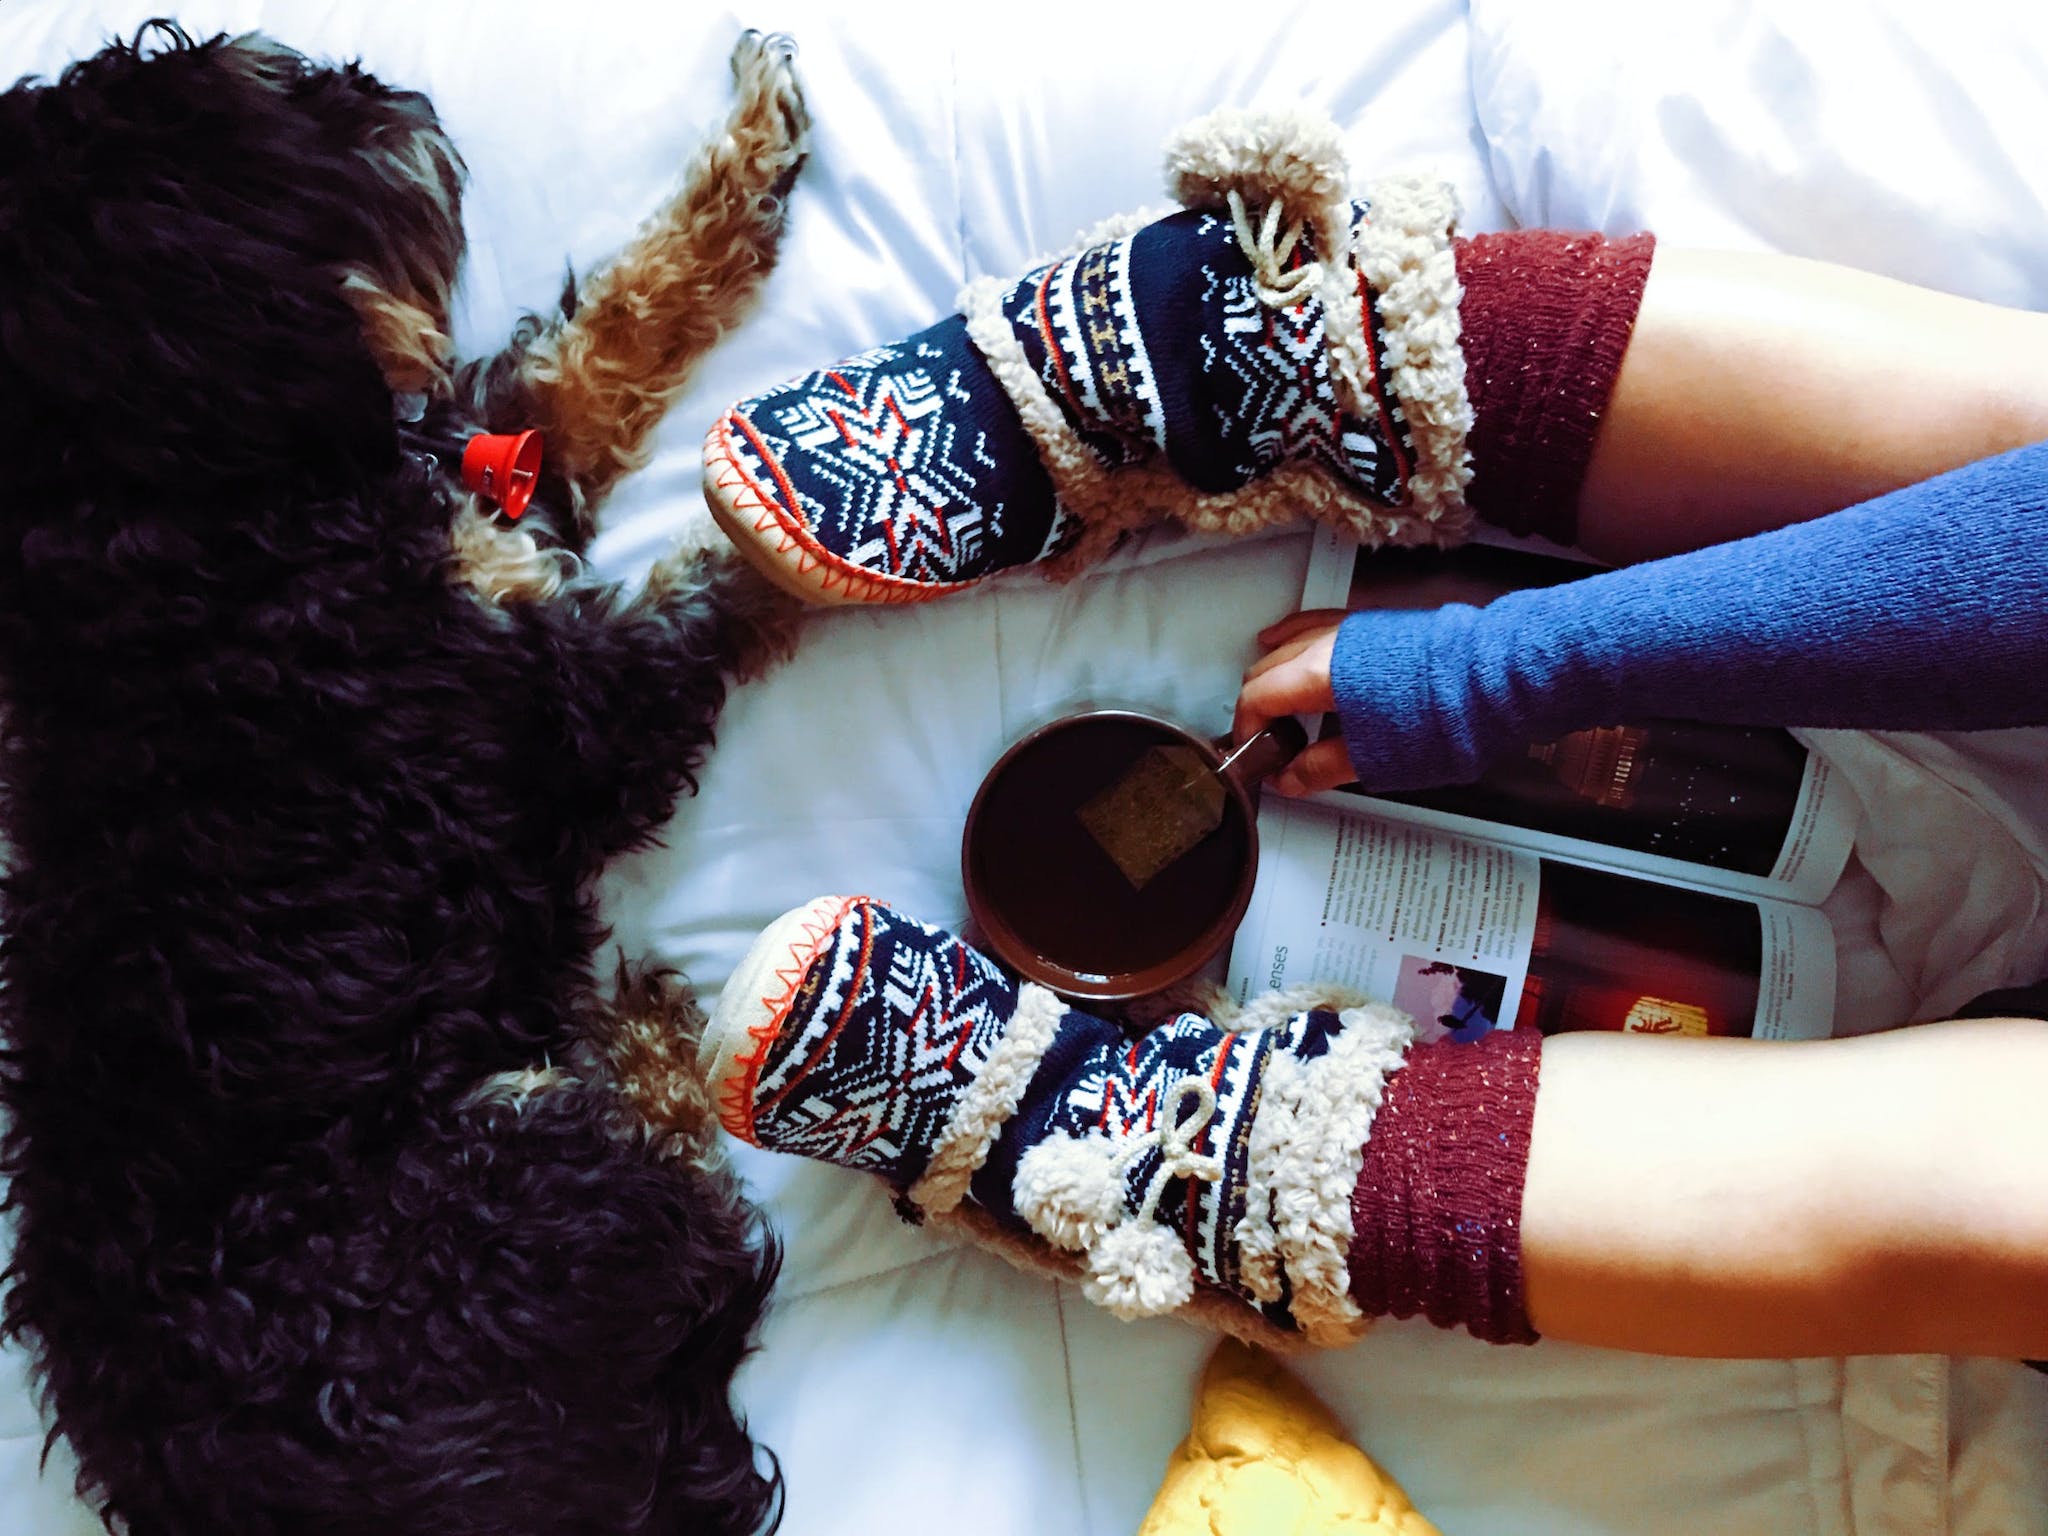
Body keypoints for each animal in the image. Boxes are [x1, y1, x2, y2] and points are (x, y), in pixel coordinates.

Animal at [0, 20, 811, 1536]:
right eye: (238, 120)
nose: (382, 97)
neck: (179, 502)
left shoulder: (499, 472)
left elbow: (612, 331)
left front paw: (755, 142)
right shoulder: (568, 706)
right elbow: (722, 575)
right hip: (522, 1157)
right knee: (690, 1178)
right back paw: (644, 1026)